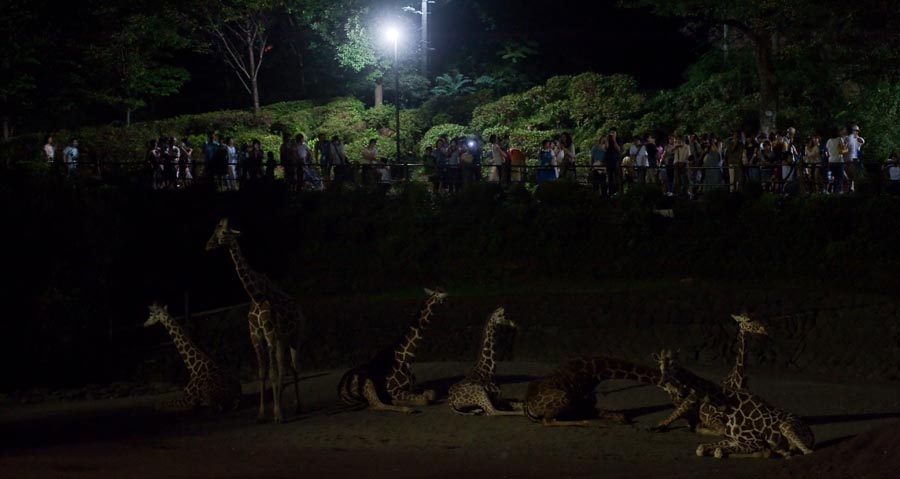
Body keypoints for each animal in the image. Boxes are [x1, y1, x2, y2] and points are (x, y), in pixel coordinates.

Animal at [205, 218, 306, 424]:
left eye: (224, 232)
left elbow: (273, 373)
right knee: (284, 368)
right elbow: (263, 373)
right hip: (282, 340)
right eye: (215, 230)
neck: (256, 296)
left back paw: (298, 407)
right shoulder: (256, 336)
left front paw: (278, 414)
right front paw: (262, 414)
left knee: (295, 367)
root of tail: (299, 307)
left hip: (296, 336)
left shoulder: (269, 334)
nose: (208, 245)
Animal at [528, 356, 660, 428]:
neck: (598, 371)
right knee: (547, 421)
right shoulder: (579, 396)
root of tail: (528, 406)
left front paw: (621, 418)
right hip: (563, 396)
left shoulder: (586, 398)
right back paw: (587, 423)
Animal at [652, 348, 816, 462]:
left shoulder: (754, 441)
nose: (664, 378)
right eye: (659, 364)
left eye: (674, 364)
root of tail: (811, 433)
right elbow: (702, 448)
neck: (730, 405)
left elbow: (719, 451)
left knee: (808, 452)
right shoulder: (732, 439)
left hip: (785, 426)